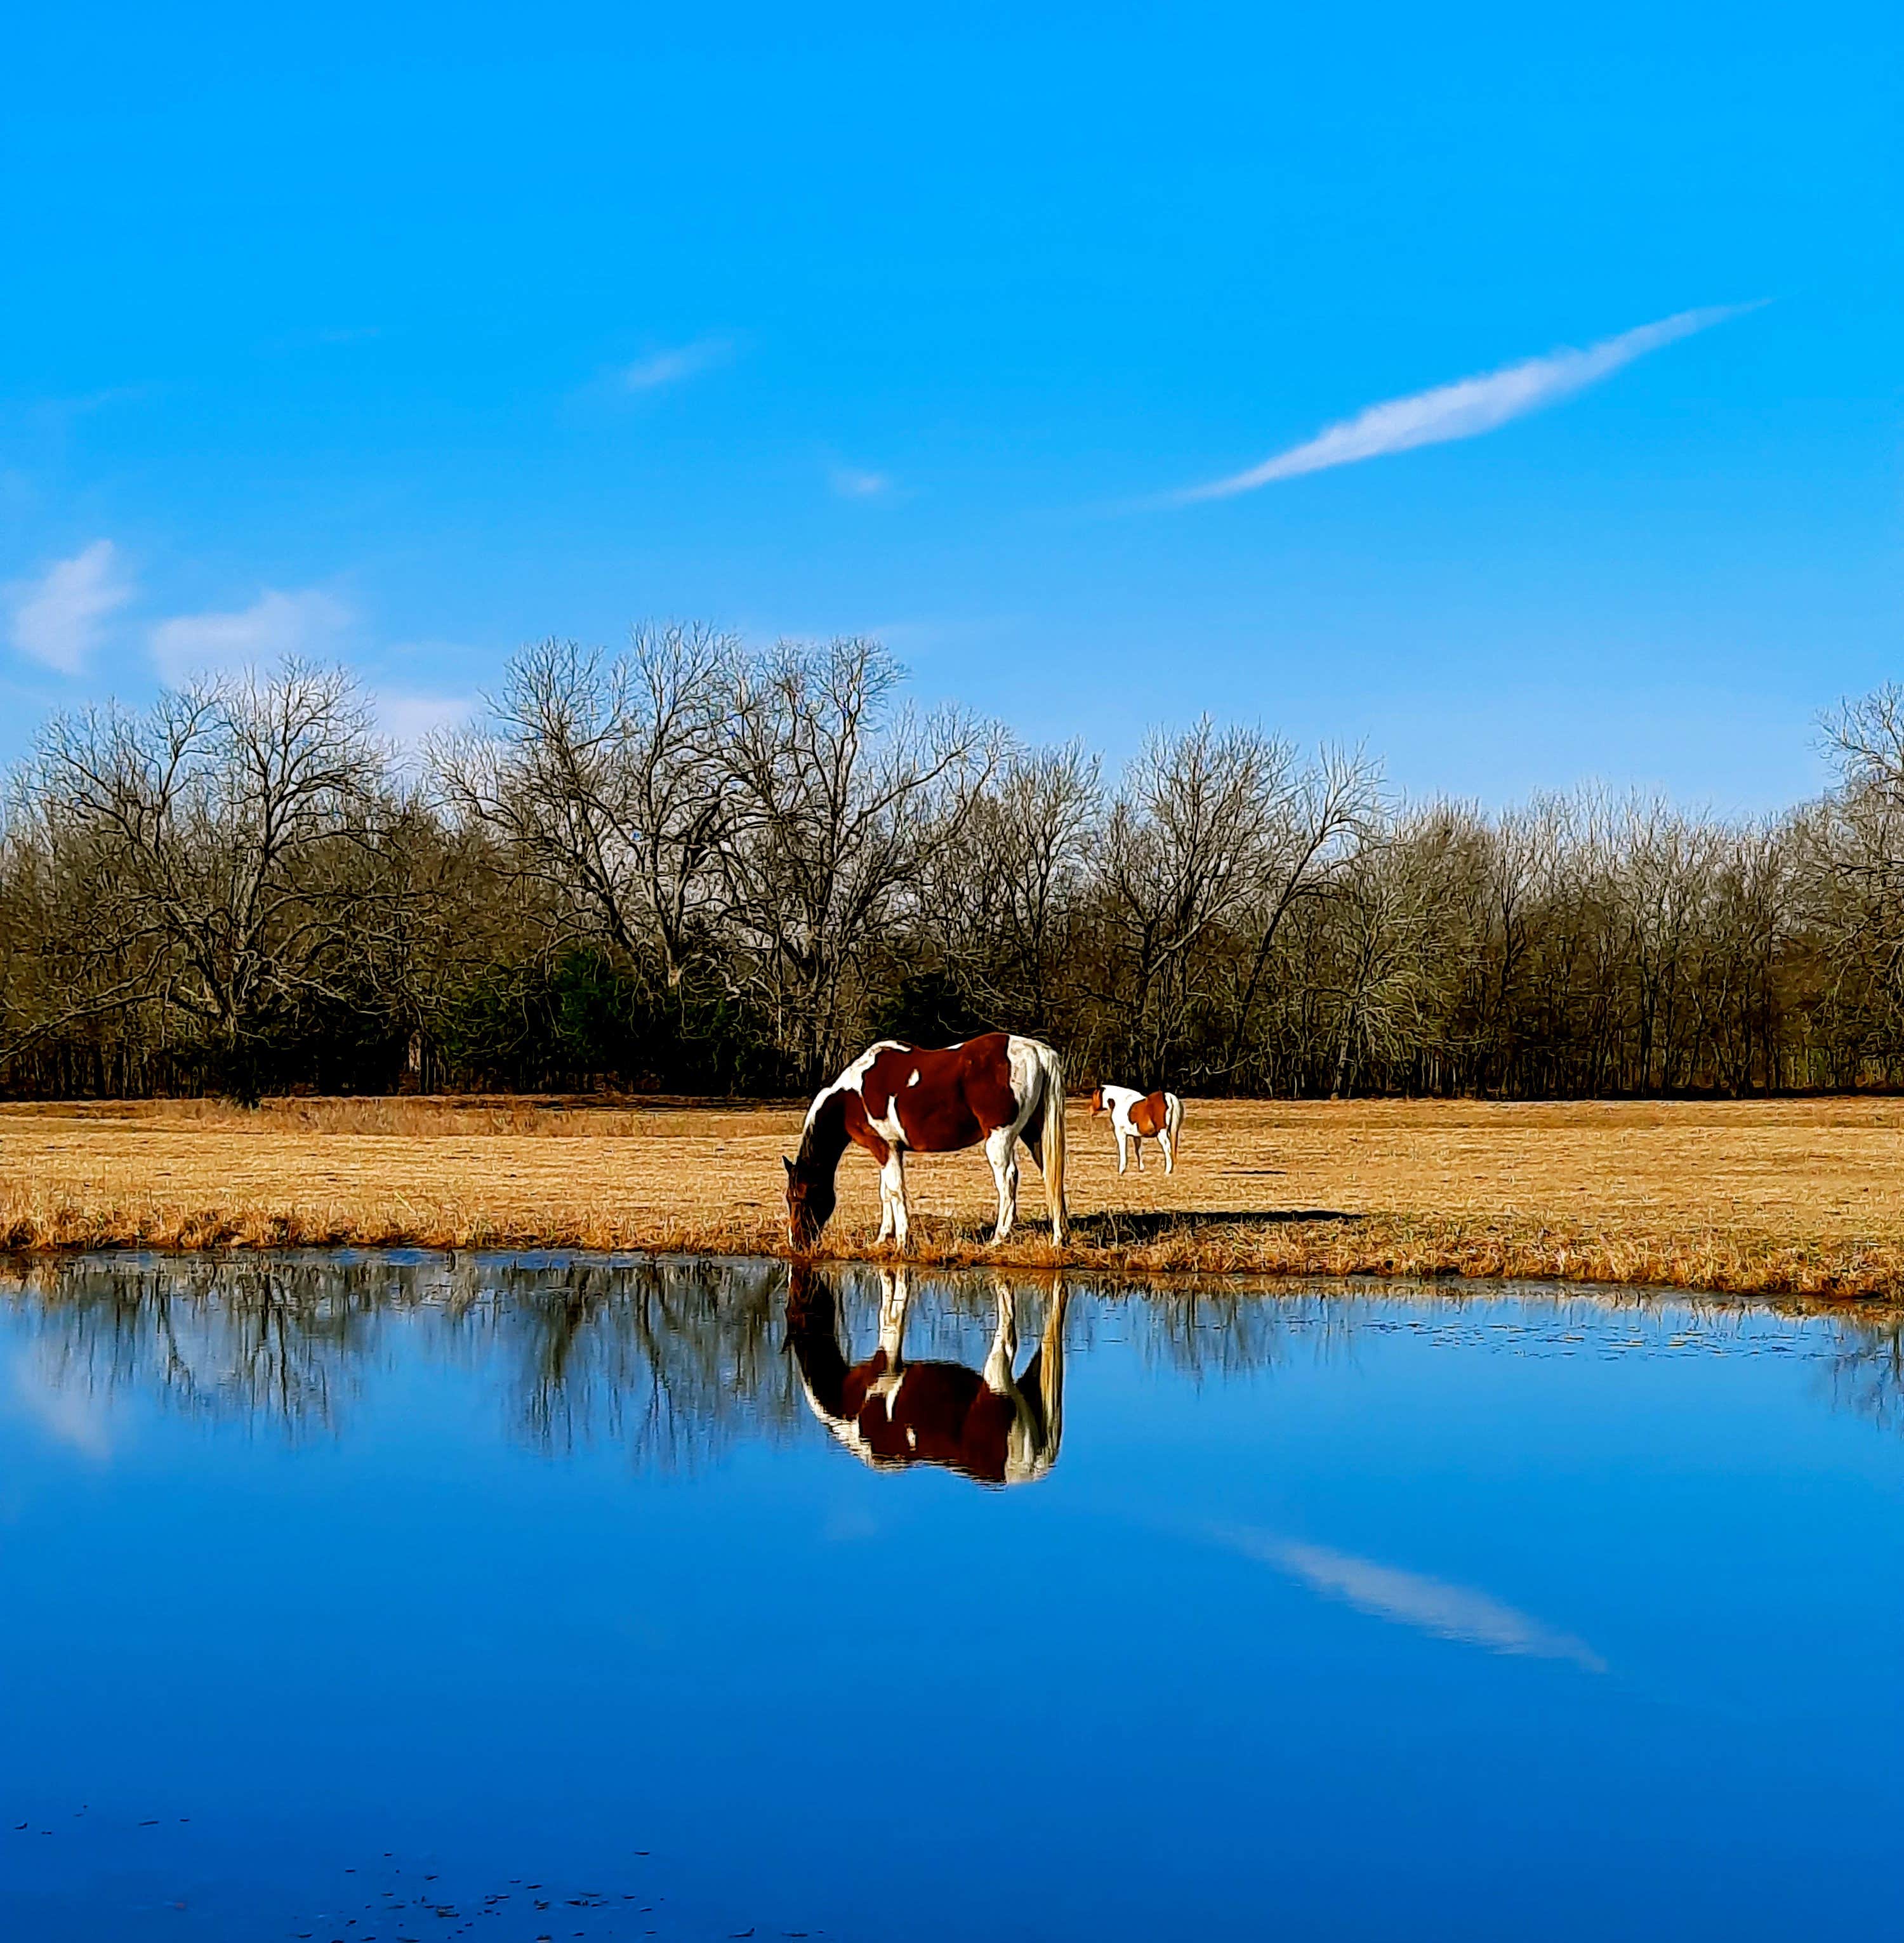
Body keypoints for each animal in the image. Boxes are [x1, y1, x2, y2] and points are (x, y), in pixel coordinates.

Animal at [777, 1259, 1064, 1484]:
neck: (849, 1406)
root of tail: (1030, 1467)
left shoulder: (887, 1364)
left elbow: (891, 1316)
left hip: (998, 1379)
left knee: (1007, 1336)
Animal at [781, 1025, 1064, 1251]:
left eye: (801, 1197)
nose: (797, 1243)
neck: (851, 1097)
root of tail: (1037, 1051)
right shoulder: (889, 1150)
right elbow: (886, 1191)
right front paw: (882, 1239)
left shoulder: (885, 1147)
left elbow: (895, 1191)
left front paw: (902, 1242)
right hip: (1035, 1135)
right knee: (1051, 1177)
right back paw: (1058, 1238)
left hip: (1000, 1138)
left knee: (1007, 1181)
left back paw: (998, 1238)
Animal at [1095, 1088, 1181, 1173]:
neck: (1121, 1101)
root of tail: (1167, 1096)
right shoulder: (1136, 1135)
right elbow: (1138, 1151)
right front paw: (1141, 1169)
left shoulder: (1120, 1133)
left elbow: (1122, 1150)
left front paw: (1121, 1170)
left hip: (1161, 1134)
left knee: (1167, 1148)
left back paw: (1167, 1171)